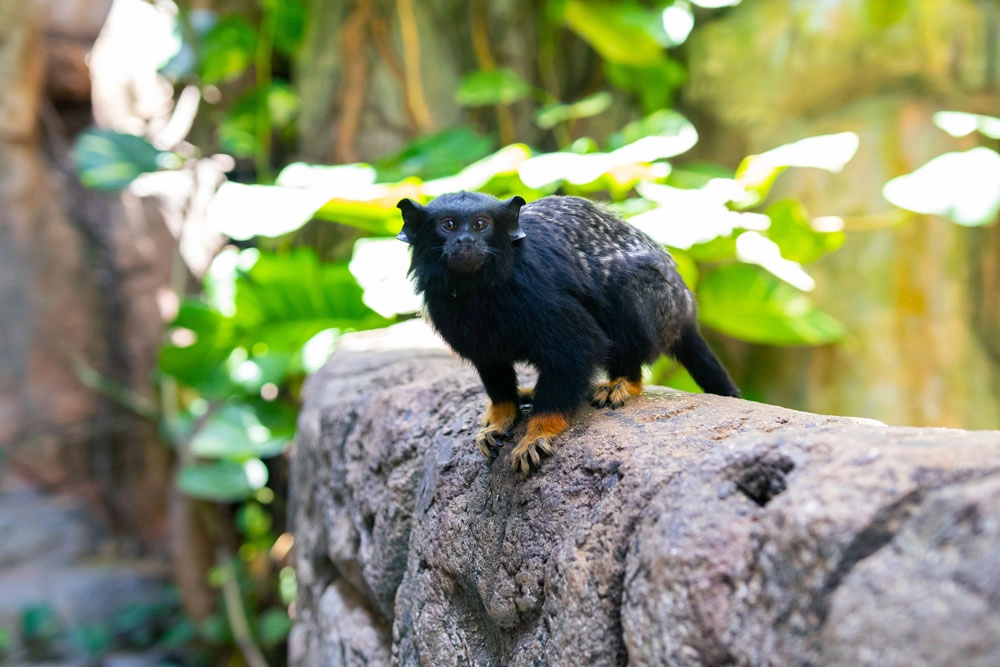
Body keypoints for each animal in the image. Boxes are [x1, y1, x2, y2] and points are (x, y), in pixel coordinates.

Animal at [396, 191, 739, 474]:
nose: (465, 241)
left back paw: (625, 380)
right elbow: (491, 365)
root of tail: (686, 310)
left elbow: (577, 348)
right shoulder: (453, 316)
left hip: (661, 304)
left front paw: (538, 433)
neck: (479, 290)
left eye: (481, 225)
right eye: (449, 225)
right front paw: (501, 416)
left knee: (628, 283)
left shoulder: (538, 292)